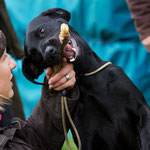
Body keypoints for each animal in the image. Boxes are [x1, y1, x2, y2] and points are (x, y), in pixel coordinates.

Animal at [22, 8, 150, 150]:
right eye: (36, 56)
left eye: (42, 30)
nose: (49, 53)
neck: (90, 79)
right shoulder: (85, 136)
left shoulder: (142, 110)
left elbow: (146, 139)